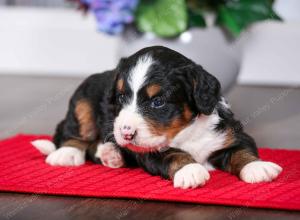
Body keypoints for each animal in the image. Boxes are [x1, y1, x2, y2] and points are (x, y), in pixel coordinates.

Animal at [31, 45, 282, 188]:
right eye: (121, 97)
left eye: (158, 102)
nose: (126, 133)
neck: (186, 133)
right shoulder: (149, 151)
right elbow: (173, 154)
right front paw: (190, 170)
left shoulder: (231, 132)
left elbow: (242, 150)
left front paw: (257, 168)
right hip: (82, 100)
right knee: (73, 131)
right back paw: (67, 153)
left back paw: (112, 154)